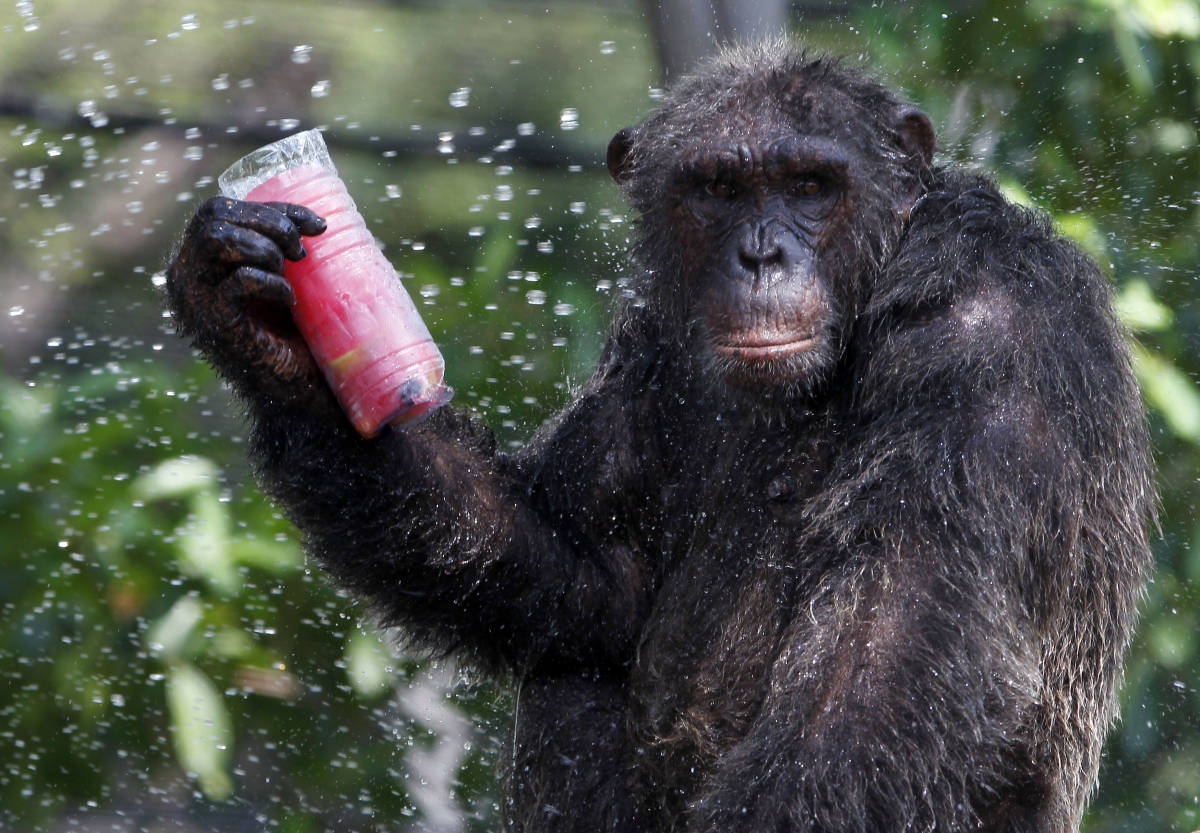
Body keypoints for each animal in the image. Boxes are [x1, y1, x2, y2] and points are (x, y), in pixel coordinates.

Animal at [166, 44, 1152, 833]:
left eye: (810, 185)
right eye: (718, 189)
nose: (762, 254)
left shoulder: (992, 332)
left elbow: (885, 655)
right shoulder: (647, 348)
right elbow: (582, 577)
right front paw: (261, 328)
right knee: (574, 670)